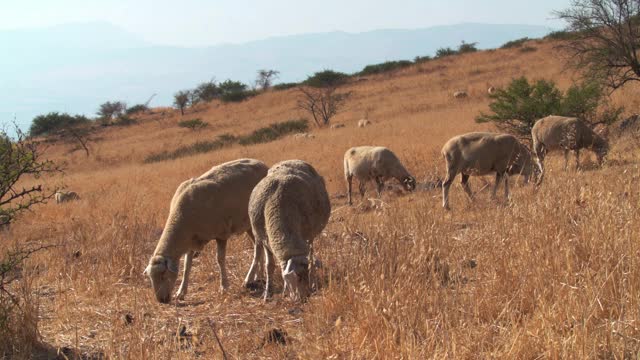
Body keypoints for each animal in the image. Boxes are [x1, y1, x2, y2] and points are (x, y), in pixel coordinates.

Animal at [143, 159, 268, 302]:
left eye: (163, 275)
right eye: (150, 277)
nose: (162, 301)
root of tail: (262, 164)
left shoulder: (221, 233)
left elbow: (220, 260)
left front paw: (224, 287)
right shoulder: (191, 239)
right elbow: (187, 266)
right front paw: (181, 292)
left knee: (257, 247)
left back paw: (249, 279)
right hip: (247, 225)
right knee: (258, 246)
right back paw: (259, 275)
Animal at [241, 160, 330, 300]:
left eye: (304, 276)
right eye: (298, 278)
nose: (303, 298)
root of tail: (291, 160)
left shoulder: (305, 236)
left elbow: (310, 261)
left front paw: (311, 284)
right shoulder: (265, 239)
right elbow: (269, 266)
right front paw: (268, 294)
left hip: (311, 235)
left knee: (311, 253)